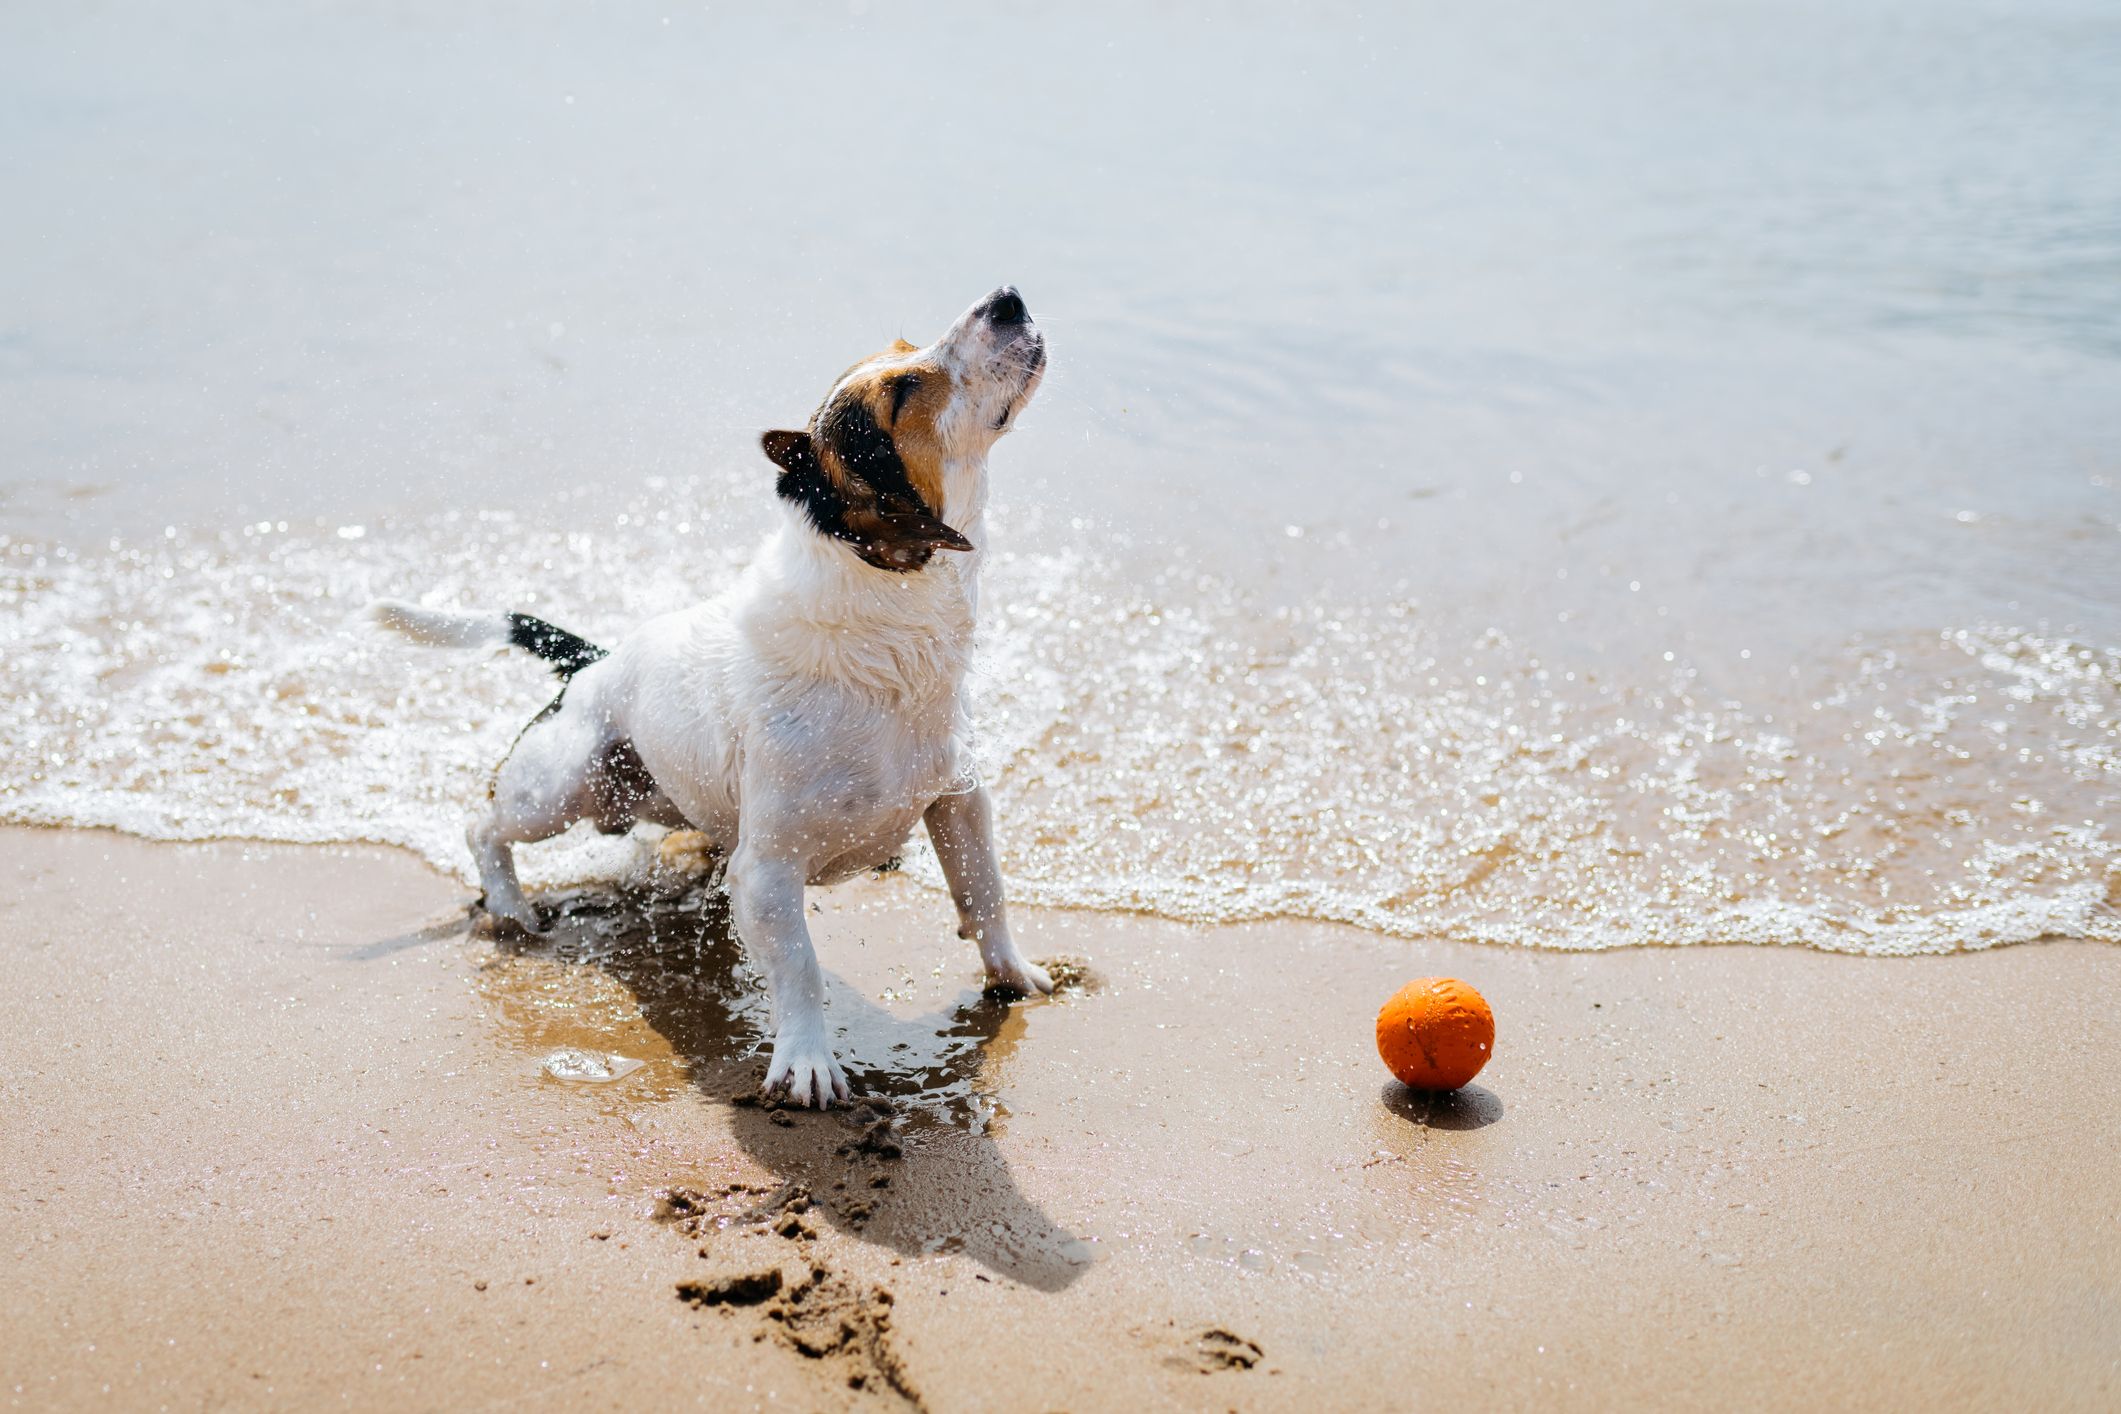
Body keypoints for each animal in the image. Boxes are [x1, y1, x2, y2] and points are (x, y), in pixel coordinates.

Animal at [377, 284, 1056, 1102]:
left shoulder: (960, 803)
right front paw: (807, 1059)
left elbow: (985, 894)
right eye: (903, 389)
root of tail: (593, 661)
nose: (1007, 296)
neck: (888, 635)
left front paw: (1013, 975)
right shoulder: (767, 871)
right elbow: (800, 966)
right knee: (484, 828)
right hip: (562, 787)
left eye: (901, 352)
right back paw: (509, 909)